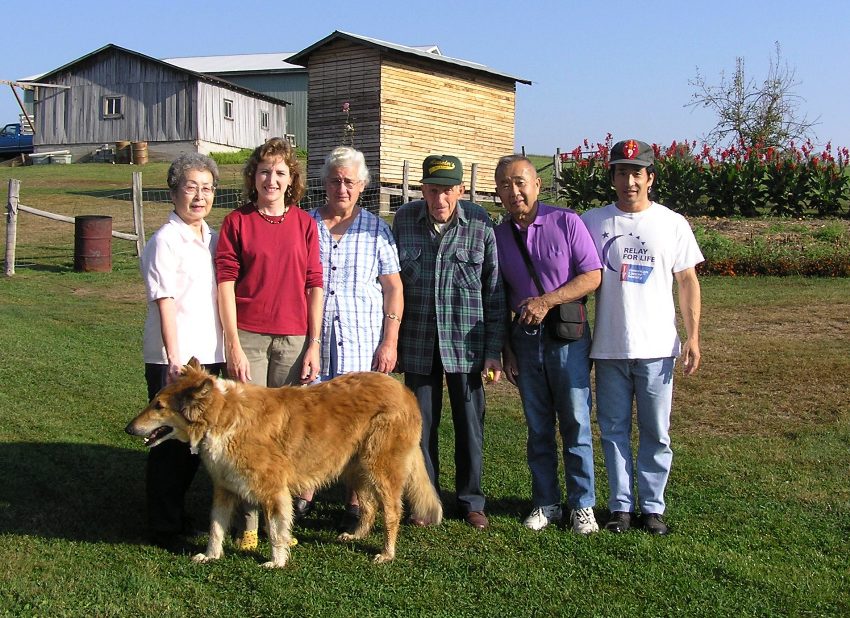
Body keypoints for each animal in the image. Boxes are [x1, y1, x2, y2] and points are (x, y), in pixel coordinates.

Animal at [127, 356, 444, 568]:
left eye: (159, 406)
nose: (129, 428)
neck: (223, 417)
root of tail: (404, 391)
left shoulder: (273, 492)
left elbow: (276, 531)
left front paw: (277, 562)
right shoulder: (224, 488)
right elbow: (216, 527)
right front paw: (210, 555)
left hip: (379, 468)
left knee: (391, 512)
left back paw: (386, 553)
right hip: (357, 469)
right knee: (368, 507)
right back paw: (354, 536)